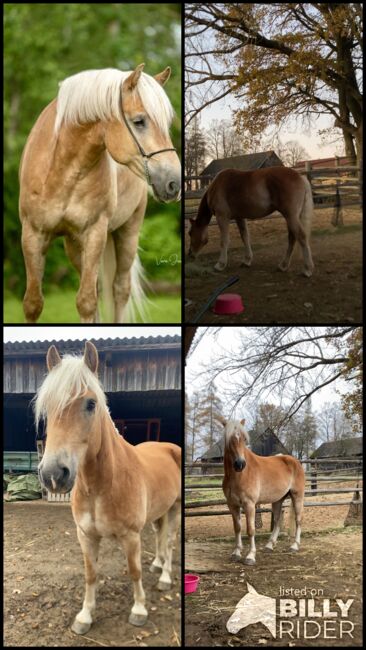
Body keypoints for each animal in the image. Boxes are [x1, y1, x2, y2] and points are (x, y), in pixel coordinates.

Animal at [19, 63, 181, 322]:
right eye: (139, 121)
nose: (173, 183)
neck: (62, 169)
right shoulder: (32, 234)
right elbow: (33, 303)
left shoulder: (94, 233)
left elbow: (86, 302)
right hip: (74, 245)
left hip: (128, 233)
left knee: (120, 290)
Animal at [35, 342, 182, 632]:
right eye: (47, 407)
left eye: (91, 403)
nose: (53, 475)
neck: (102, 486)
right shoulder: (85, 535)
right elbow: (91, 574)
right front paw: (85, 616)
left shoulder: (131, 536)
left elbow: (134, 571)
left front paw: (139, 610)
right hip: (158, 513)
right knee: (159, 537)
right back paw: (157, 565)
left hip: (175, 508)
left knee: (169, 540)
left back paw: (165, 578)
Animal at [220, 416, 306, 560]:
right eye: (229, 438)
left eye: (244, 438)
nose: (239, 464)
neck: (239, 475)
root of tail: (295, 461)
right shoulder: (232, 505)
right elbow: (237, 528)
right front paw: (236, 553)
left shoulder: (249, 504)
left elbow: (250, 530)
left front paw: (250, 556)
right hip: (278, 500)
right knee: (277, 521)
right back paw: (269, 545)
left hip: (297, 496)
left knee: (298, 519)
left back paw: (294, 546)